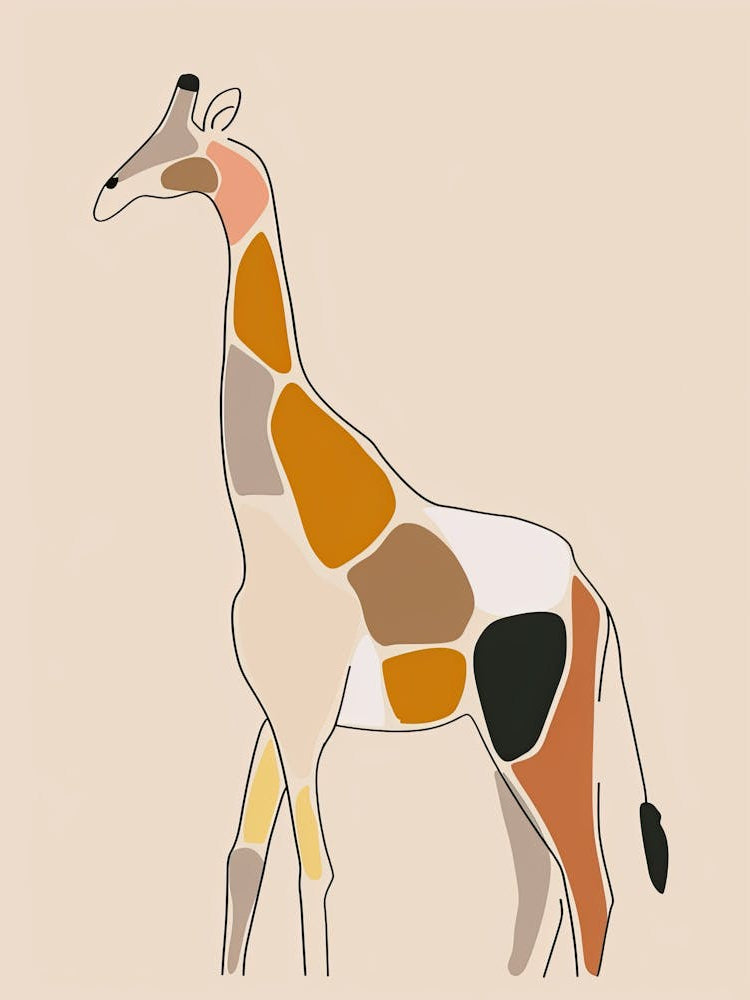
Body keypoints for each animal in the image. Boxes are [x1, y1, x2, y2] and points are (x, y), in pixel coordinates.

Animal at [93, 74, 668, 980]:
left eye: (181, 141)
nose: (106, 191)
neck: (275, 508)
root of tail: (594, 597)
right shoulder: (276, 709)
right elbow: (244, 858)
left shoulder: (304, 710)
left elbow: (314, 868)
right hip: (499, 739)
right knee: (542, 883)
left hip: (535, 734)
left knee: (589, 882)